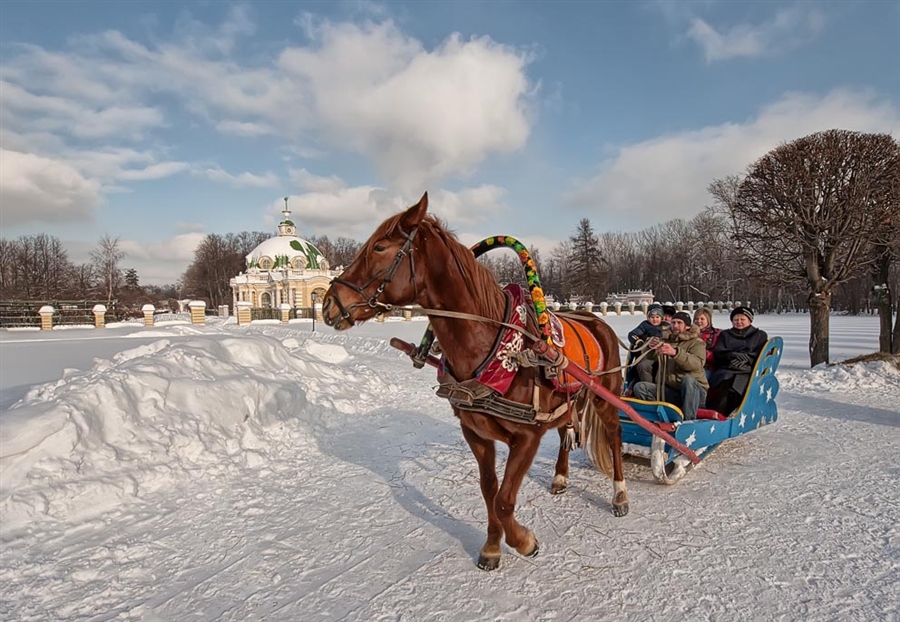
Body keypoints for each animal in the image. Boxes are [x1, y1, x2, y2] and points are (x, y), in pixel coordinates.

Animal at [322, 193, 624, 572]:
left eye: (378, 246)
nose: (328, 303)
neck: (497, 346)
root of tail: (594, 318)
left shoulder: (527, 437)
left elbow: (505, 499)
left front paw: (523, 541)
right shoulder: (476, 434)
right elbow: (489, 491)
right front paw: (493, 546)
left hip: (606, 397)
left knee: (615, 435)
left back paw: (620, 493)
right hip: (566, 403)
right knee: (564, 432)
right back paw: (559, 476)